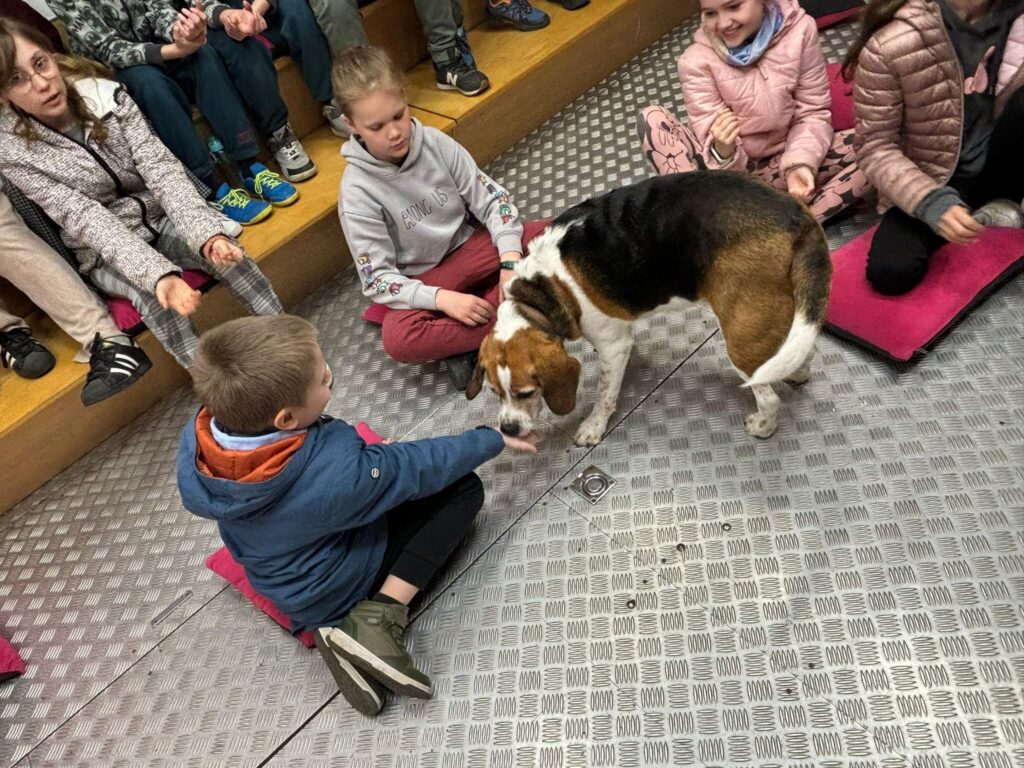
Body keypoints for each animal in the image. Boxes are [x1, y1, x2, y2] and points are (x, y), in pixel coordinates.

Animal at [465, 171, 831, 445]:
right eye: (494, 392)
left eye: (525, 392)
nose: (508, 429)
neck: (541, 294)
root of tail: (798, 216)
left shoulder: (612, 346)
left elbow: (604, 394)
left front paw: (593, 426)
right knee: (802, 351)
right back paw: (797, 374)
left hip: (741, 337)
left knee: (769, 396)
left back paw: (762, 427)